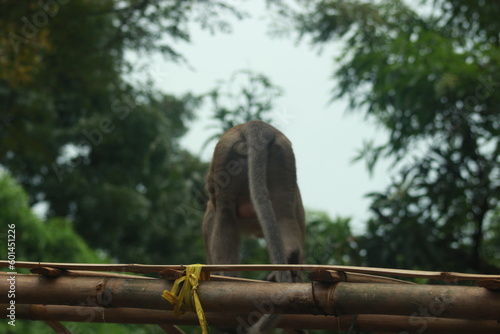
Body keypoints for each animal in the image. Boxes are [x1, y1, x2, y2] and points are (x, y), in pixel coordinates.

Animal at [202, 120, 304, 334]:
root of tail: (256, 124)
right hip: (283, 157)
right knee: (284, 215)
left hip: (228, 157)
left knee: (224, 215)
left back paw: (225, 279)